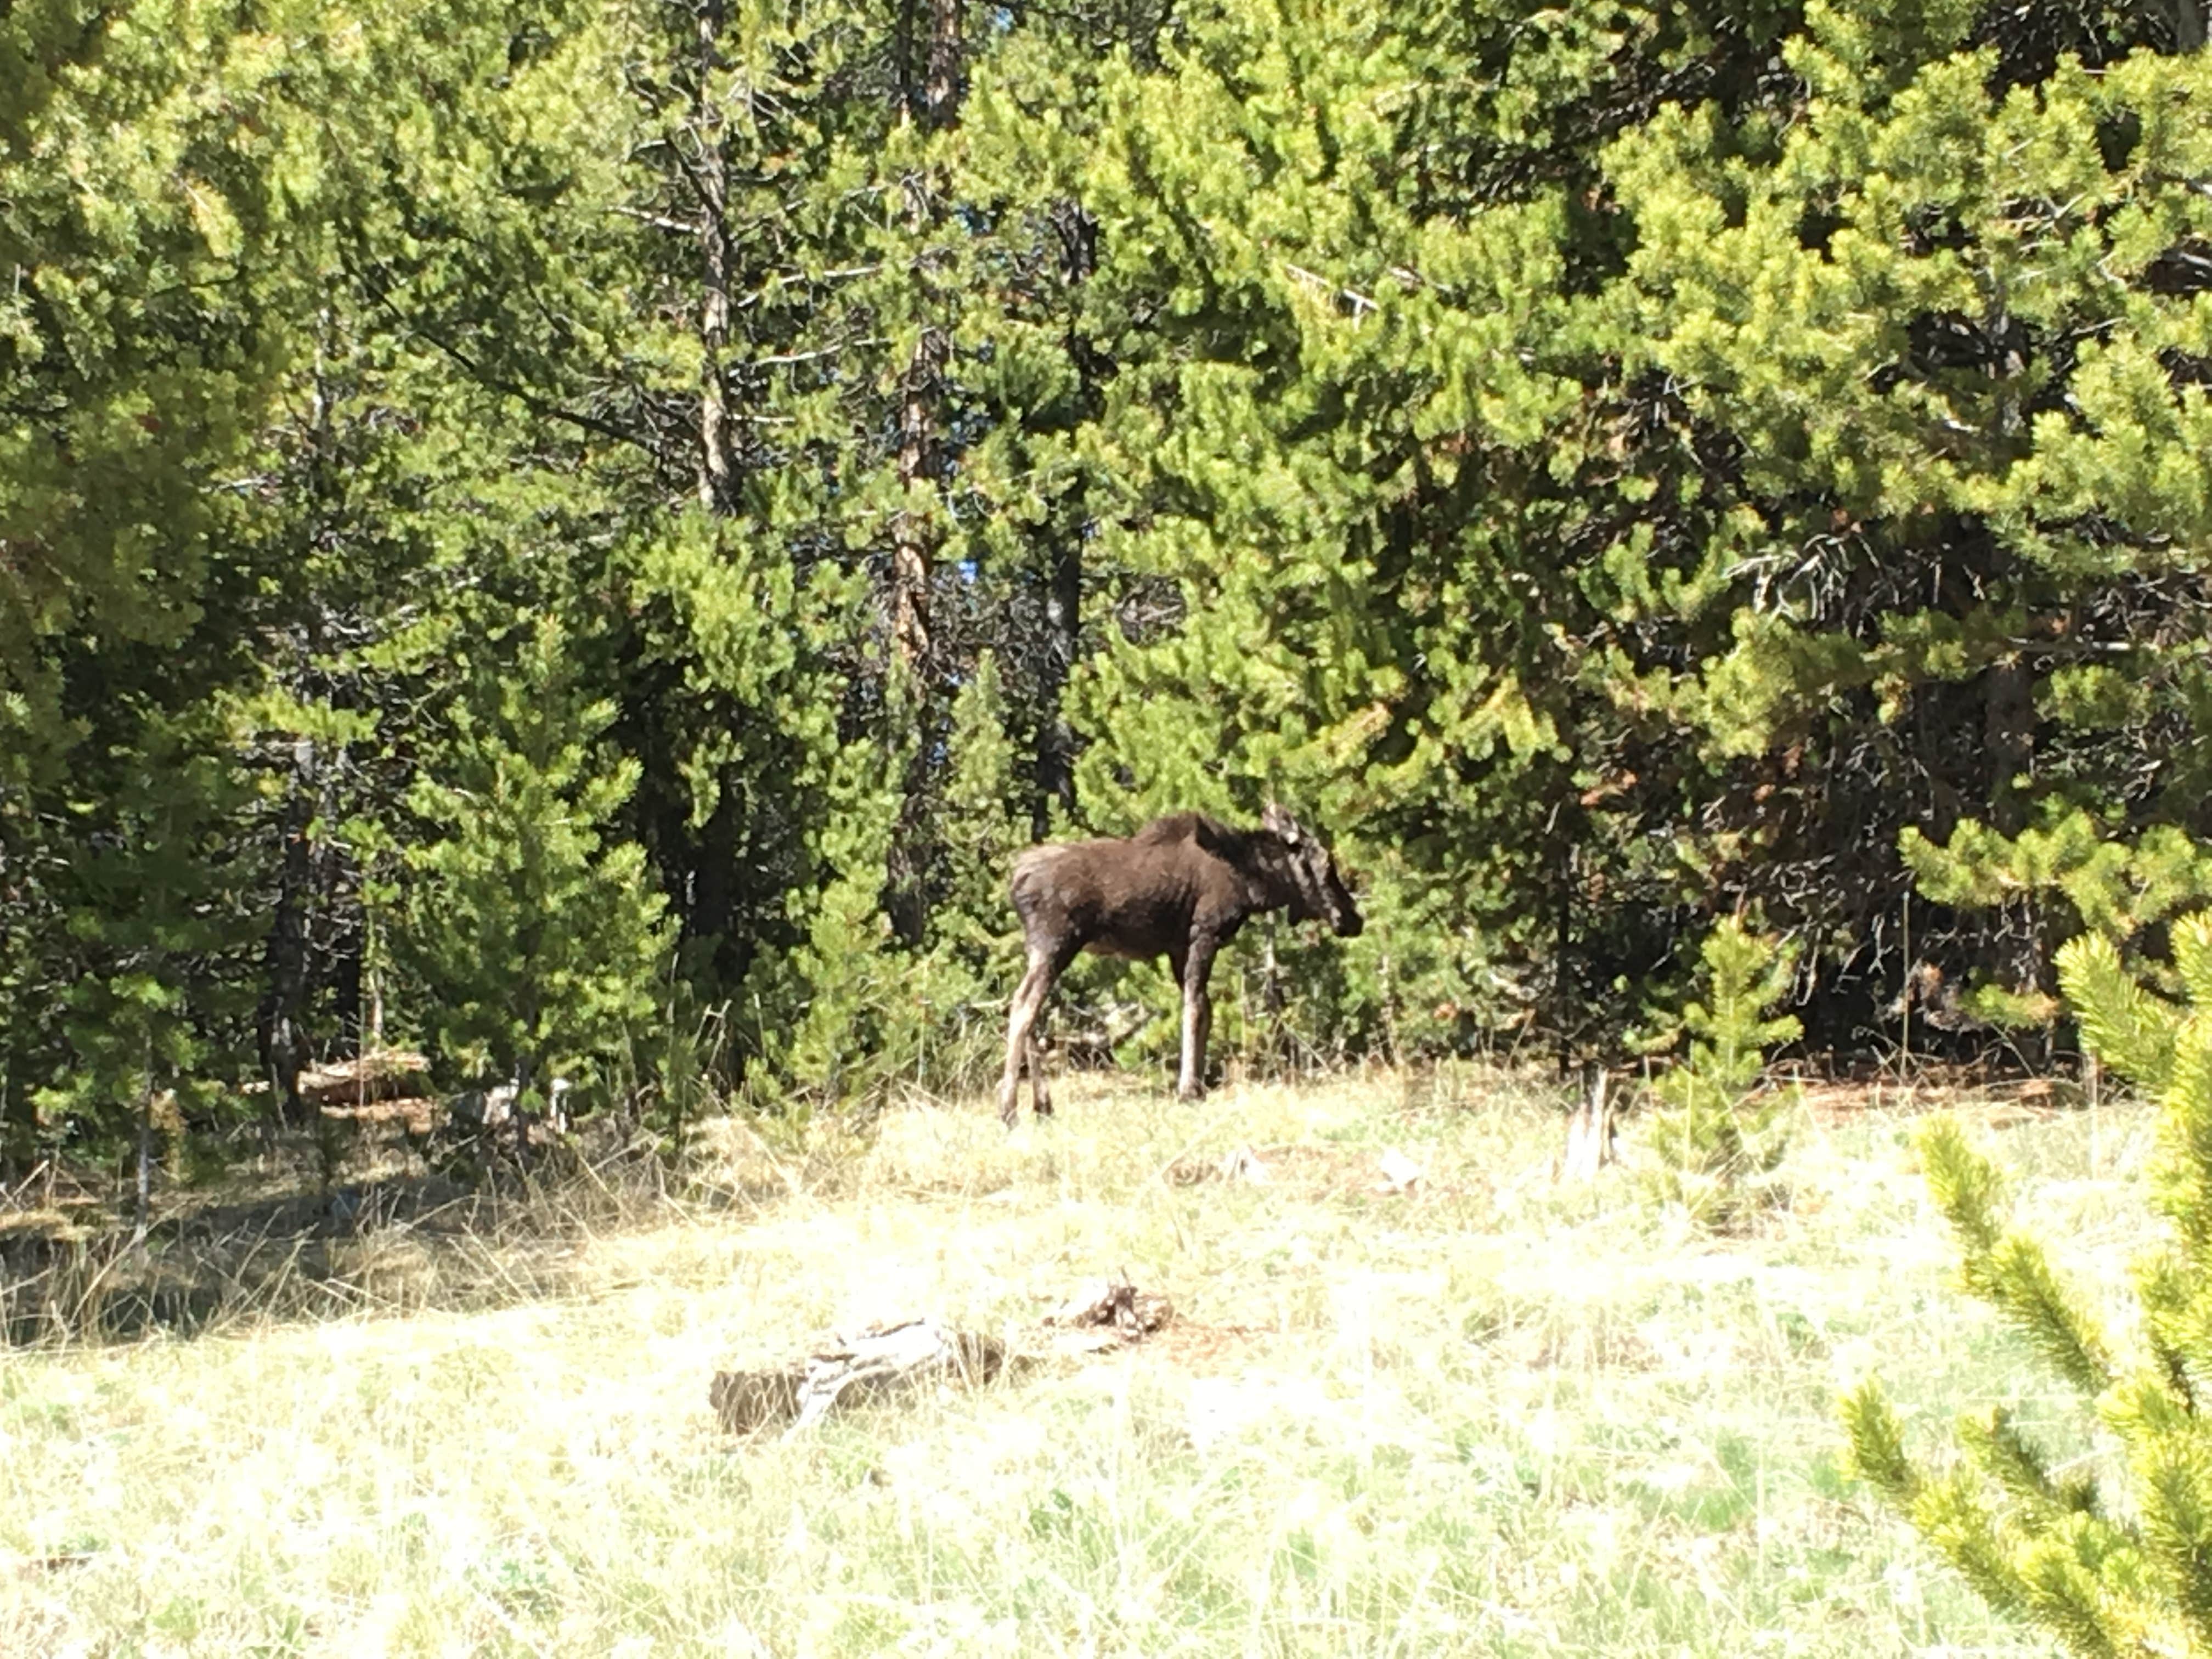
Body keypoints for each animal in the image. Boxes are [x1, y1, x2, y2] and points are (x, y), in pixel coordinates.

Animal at [997, 804, 1364, 1125]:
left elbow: (1204, 1007)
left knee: (1031, 1010)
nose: (1353, 918)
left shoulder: (1177, 949)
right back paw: (1009, 1110)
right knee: (1023, 1006)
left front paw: (1199, 1087)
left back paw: (1043, 1105)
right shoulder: (1204, 932)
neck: (1252, 881)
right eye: (1326, 863)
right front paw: (1188, 1089)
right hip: (1057, 944)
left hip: (1042, 949)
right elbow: (1195, 1009)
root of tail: (1016, 881)